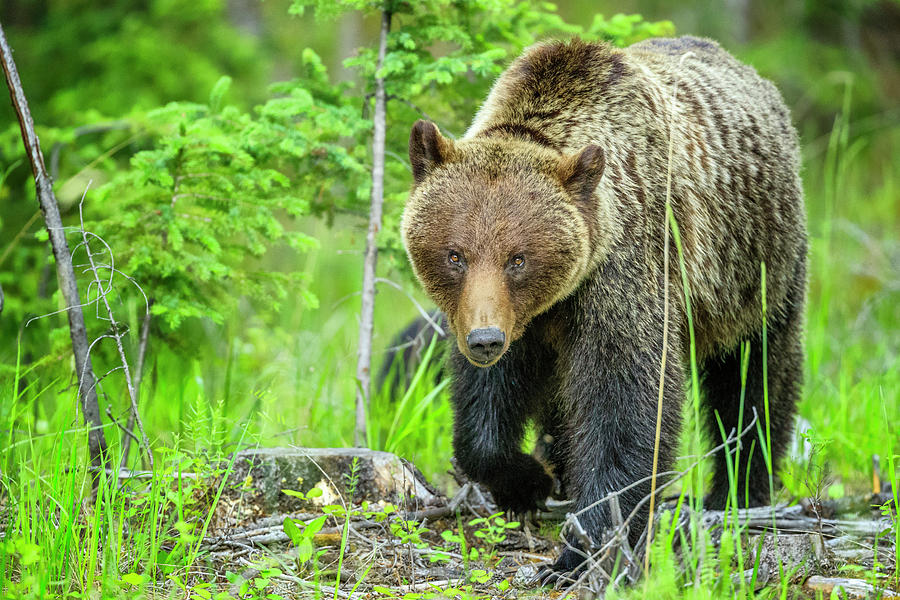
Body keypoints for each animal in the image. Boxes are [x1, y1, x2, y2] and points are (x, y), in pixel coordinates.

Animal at [400, 36, 808, 576]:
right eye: (455, 254)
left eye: (517, 258)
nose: (484, 339)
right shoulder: (514, 318)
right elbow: (485, 409)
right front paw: (529, 482)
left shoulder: (626, 271)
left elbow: (626, 401)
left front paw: (584, 545)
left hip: (756, 266)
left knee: (756, 375)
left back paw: (738, 493)